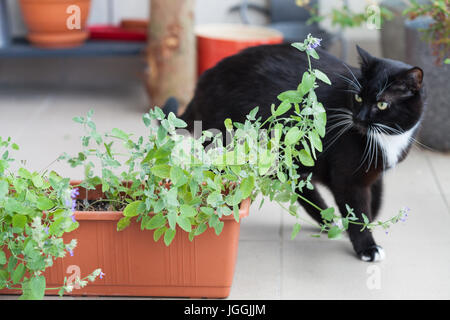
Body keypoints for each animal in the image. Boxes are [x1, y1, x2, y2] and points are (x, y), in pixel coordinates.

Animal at [166, 43, 426, 262]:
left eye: (382, 104)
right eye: (358, 97)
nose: (358, 118)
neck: (384, 139)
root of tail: (202, 83)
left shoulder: (374, 172)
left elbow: (376, 197)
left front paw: (369, 222)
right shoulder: (347, 179)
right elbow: (356, 210)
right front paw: (367, 245)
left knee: (301, 186)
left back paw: (327, 220)